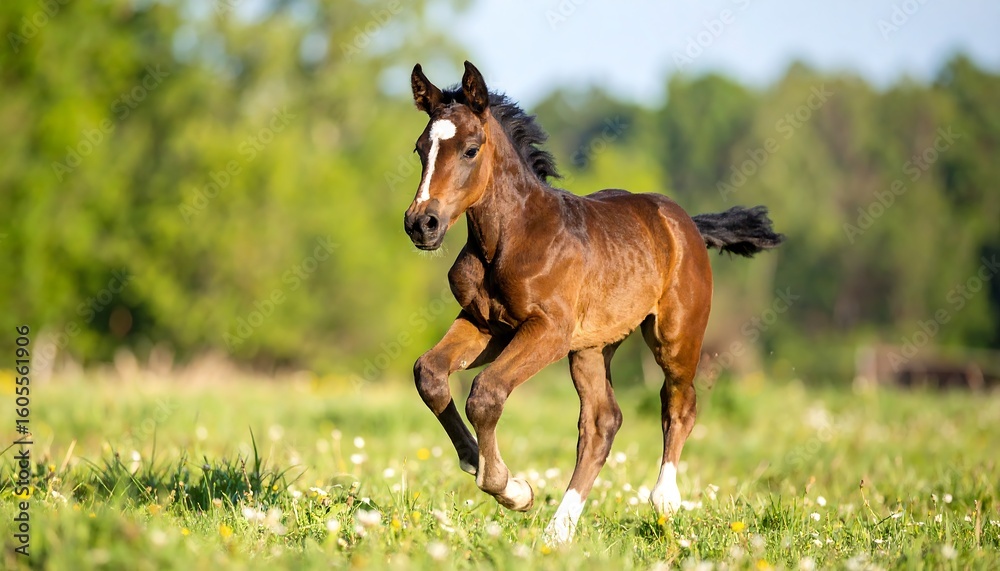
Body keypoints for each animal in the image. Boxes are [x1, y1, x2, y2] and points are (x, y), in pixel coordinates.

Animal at [403, 61, 784, 544]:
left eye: (471, 149)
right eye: (420, 149)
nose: (422, 223)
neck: (509, 239)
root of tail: (686, 223)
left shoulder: (548, 330)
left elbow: (486, 394)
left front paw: (512, 490)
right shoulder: (484, 324)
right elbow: (429, 373)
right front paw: (476, 461)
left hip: (675, 335)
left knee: (679, 402)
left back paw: (664, 500)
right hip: (592, 347)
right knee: (603, 422)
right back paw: (558, 531)